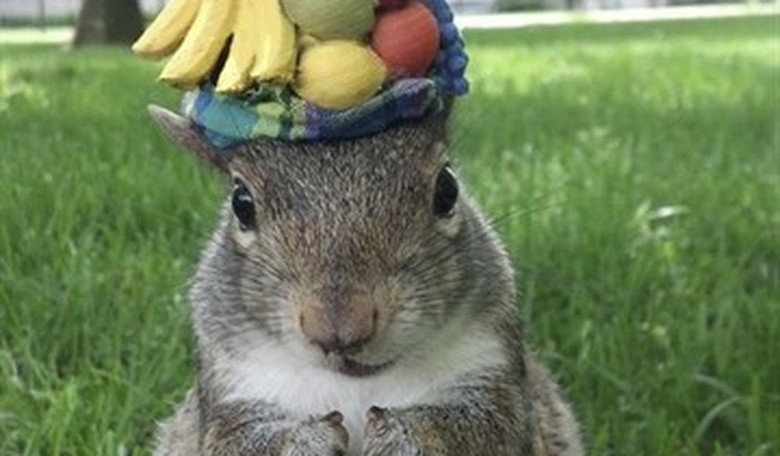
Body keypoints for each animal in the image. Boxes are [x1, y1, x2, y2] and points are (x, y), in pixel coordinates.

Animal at [147, 104, 583, 456]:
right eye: (241, 203)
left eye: (447, 188)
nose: (339, 330)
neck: (357, 386)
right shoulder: (229, 389)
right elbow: (234, 440)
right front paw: (306, 440)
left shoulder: (495, 376)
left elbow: (484, 428)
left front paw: (403, 433)